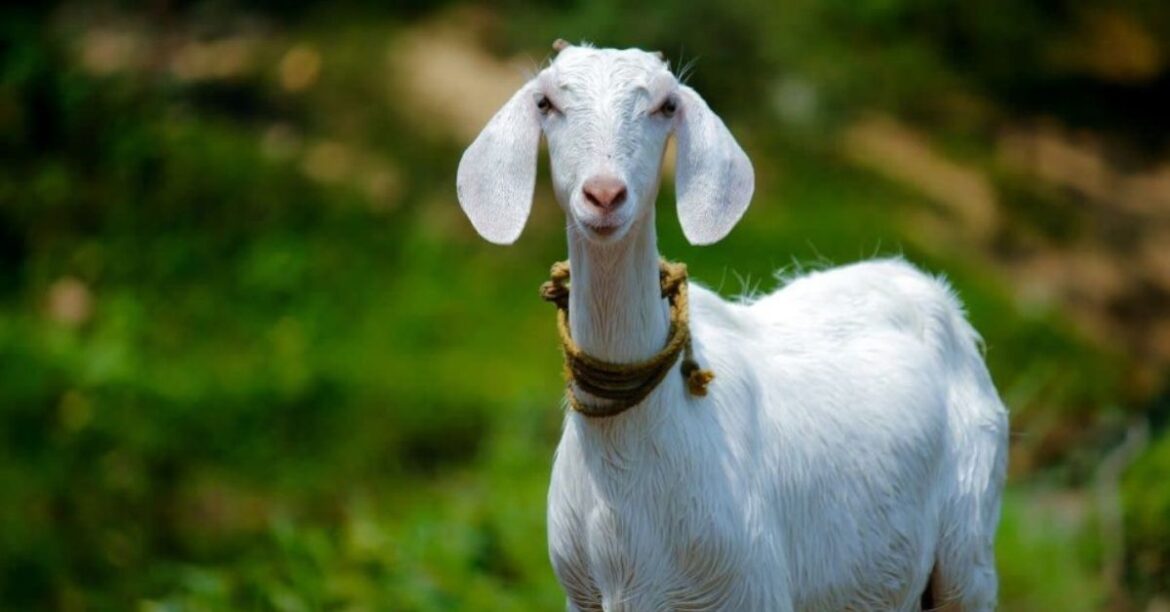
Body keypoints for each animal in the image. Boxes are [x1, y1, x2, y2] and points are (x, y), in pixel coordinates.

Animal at [456, 41, 1008, 612]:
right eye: (545, 102)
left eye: (666, 105)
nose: (605, 195)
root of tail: (930, 288)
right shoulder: (583, 595)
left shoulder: (752, 589)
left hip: (970, 544)